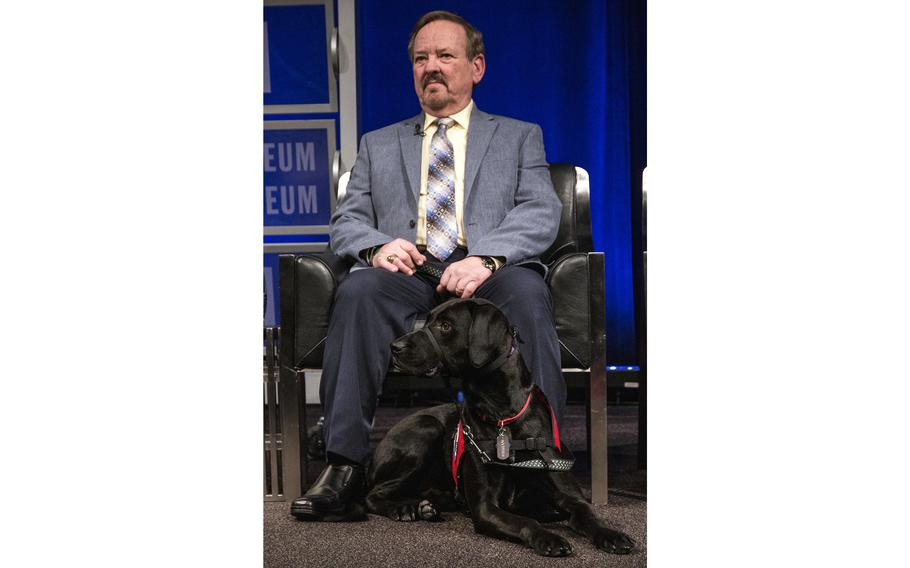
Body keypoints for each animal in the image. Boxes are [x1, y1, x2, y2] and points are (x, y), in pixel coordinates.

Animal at [366, 300, 636, 556]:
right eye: (429, 320)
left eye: (445, 326)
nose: (394, 346)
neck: (502, 414)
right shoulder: (486, 507)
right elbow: (527, 521)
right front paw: (549, 538)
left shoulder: (570, 495)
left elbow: (589, 514)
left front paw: (611, 534)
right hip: (426, 429)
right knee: (372, 495)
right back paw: (404, 507)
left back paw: (424, 506)